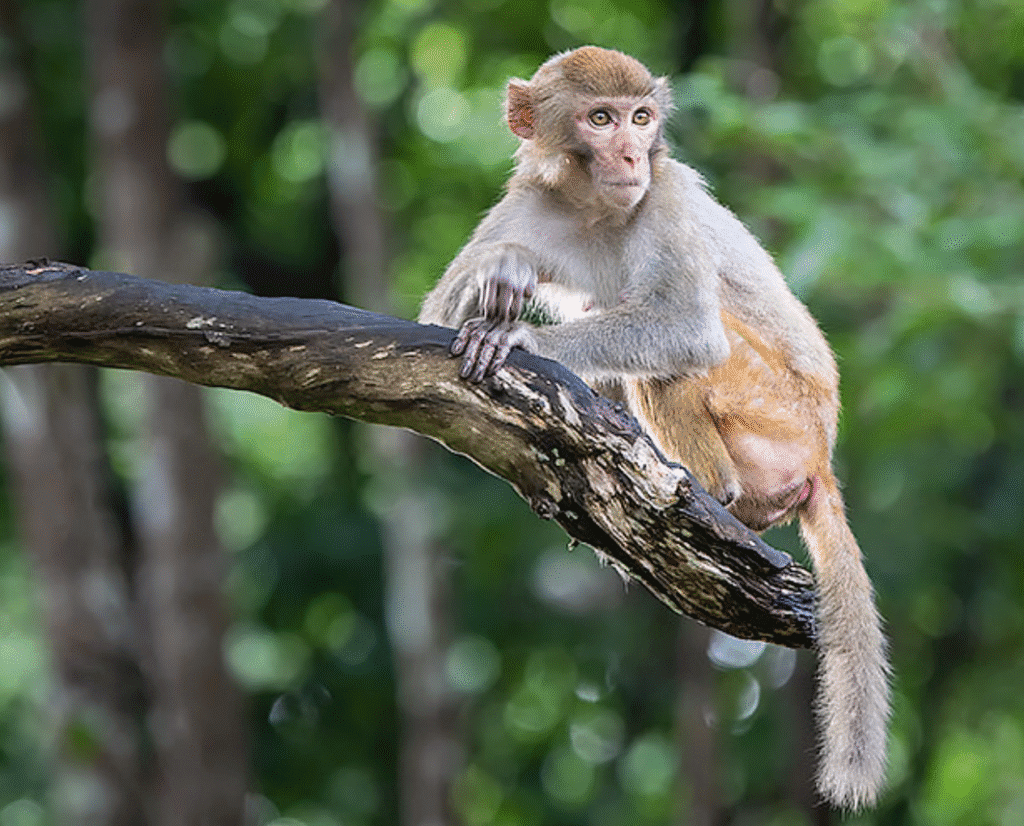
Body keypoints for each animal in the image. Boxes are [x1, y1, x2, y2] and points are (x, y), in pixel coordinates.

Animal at [418, 46, 889, 810]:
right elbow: (428, 325)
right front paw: (499, 274)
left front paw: (524, 338)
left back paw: (702, 494)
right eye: (601, 119)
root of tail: (822, 455)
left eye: (641, 118)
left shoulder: (664, 196)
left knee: (676, 358)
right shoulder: (525, 205)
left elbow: (690, 332)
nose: (633, 154)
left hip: (777, 409)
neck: (592, 204)